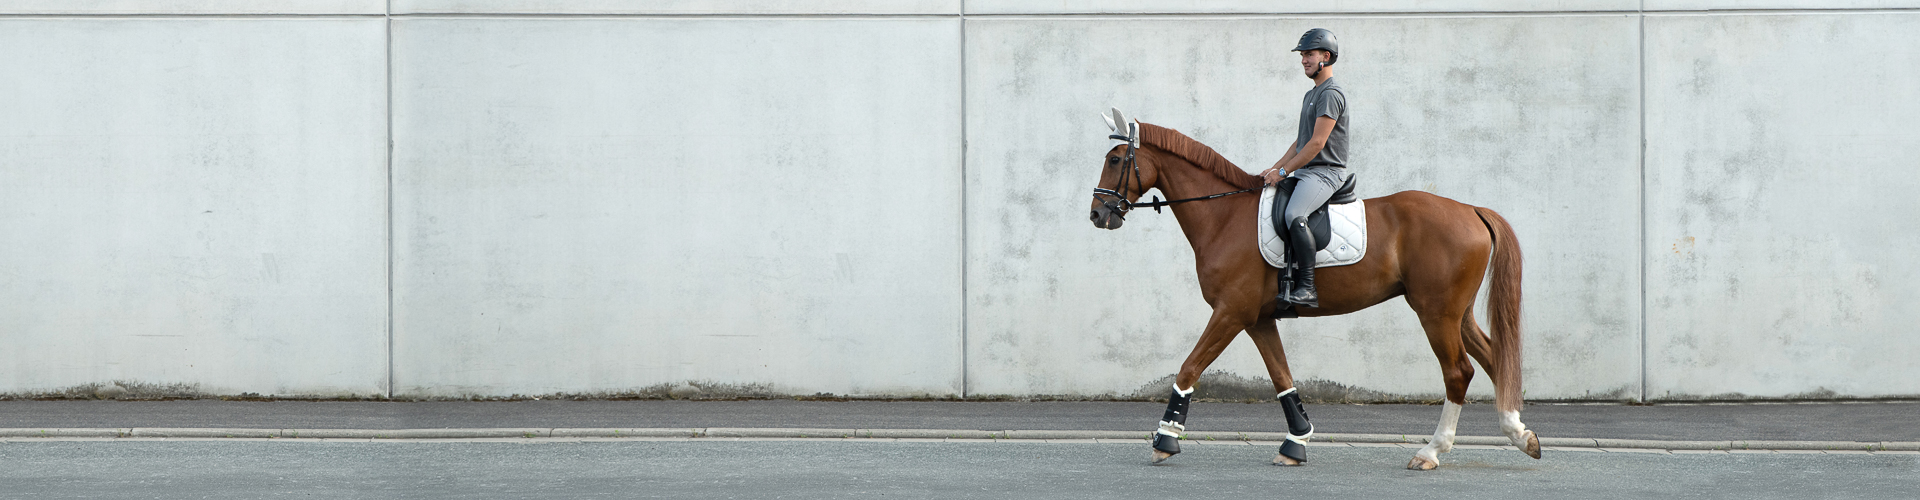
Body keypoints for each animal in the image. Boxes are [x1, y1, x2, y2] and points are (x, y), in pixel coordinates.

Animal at [1090, 109, 1536, 469]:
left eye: (1115, 159)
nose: (1097, 214)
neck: (1223, 215)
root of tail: (1471, 210)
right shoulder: (1257, 319)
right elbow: (1282, 378)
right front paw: (1296, 443)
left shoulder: (1230, 312)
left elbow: (1189, 367)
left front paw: (1164, 440)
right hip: (1456, 313)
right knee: (1495, 359)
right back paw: (1521, 435)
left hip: (1436, 313)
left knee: (1458, 372)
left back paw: (1431, 452)